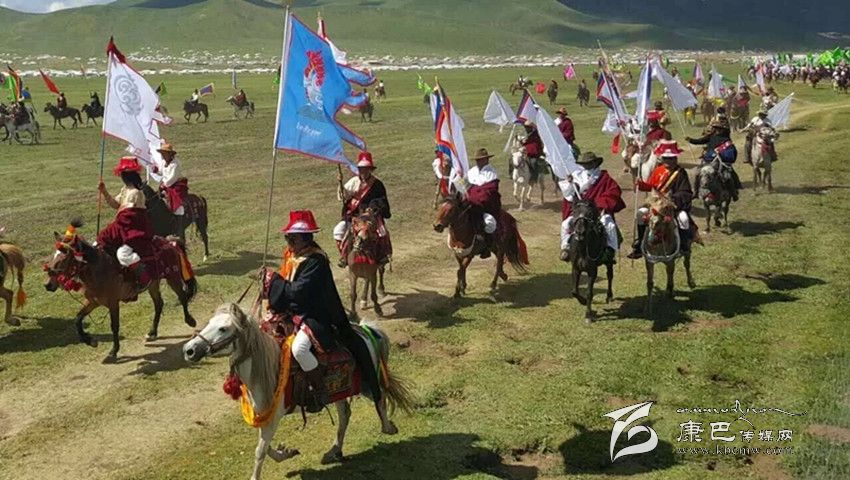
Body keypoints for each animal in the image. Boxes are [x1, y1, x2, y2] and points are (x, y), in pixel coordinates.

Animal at [44, 220, 198, 362]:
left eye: (65, 256)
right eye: (53, 255)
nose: (48, 284)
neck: (99, 270)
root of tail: (170, 241)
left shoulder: (113, 303)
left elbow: (114, 326)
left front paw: (113, 351)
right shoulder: (93, 302)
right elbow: (78, 319)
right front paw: (90, 341)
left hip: (172, 277)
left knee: (182, 296)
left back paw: (190, 320)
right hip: (153, 284)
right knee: (159, 304)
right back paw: (152, 332)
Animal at [182, 303, 412, 480]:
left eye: (222, 329)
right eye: (209, 324)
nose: (189, 350)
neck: (267, 370)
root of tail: (365, 330)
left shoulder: (273, 418)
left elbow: (260, 451)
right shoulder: (264, 415)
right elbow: (266, 447)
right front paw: (287, 452)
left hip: (366, 382)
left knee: (379, 397)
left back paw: (388, 427)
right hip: (338, 392)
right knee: (345, 415)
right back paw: (334, 451)